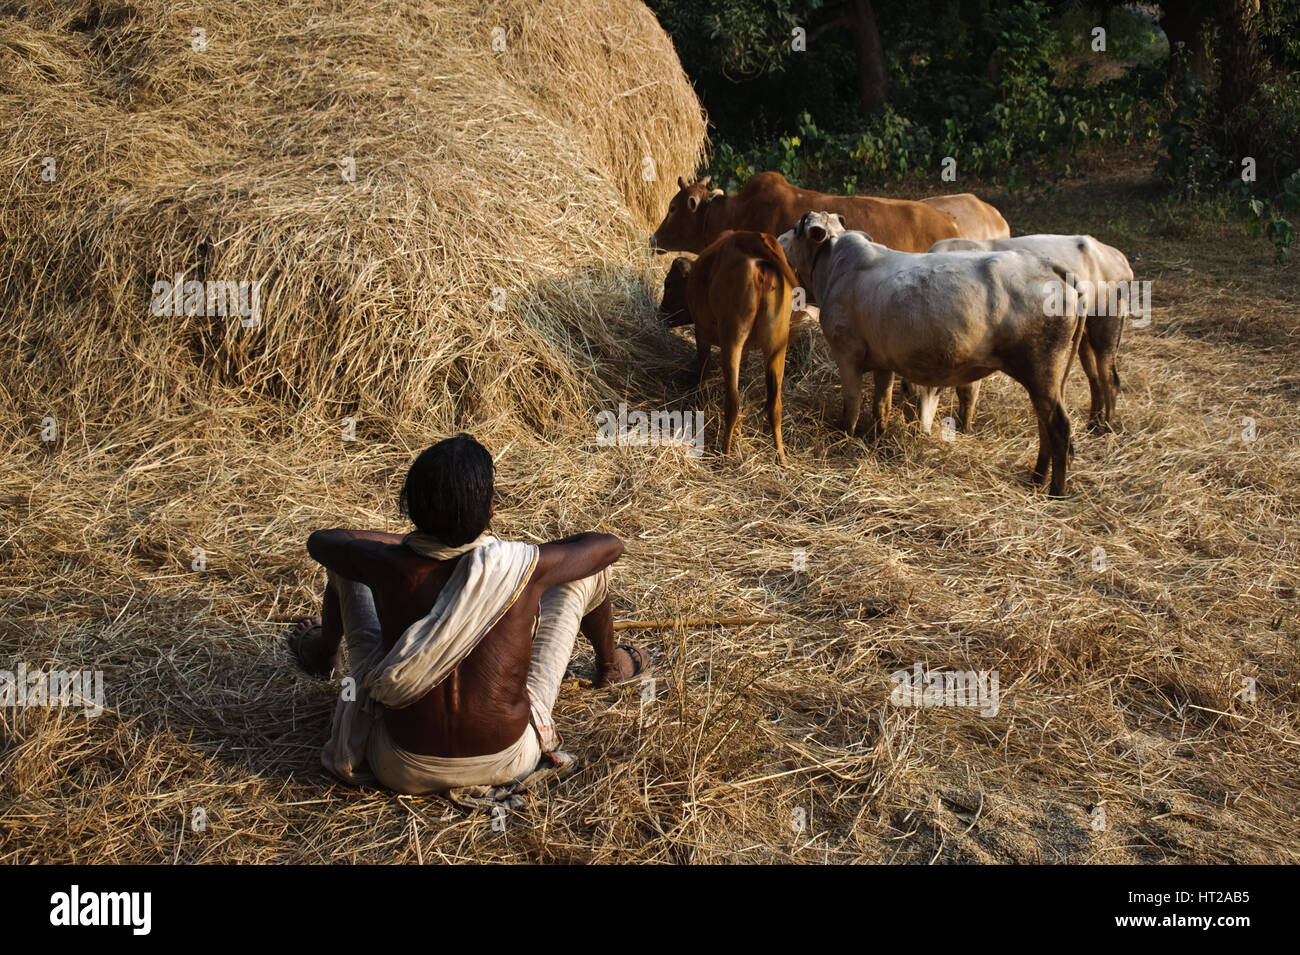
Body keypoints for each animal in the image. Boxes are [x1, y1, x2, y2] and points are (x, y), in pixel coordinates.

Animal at [660, 227, 800, 459]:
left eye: (668, 283)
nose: (661, 312)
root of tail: (753, 240)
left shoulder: (702, 333)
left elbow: (703, 369)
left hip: (732, 339)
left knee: (733, 403)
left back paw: (724, 451)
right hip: (776, 346)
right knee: (775, 407)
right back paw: (781, 457)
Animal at [780, 213, 1086, 496]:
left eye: (796, 229)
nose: (780, 239)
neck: (834, 268)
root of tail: (1048, 266)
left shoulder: (847, 355)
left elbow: (852, 407)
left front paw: (845, 439)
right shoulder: (883, 362)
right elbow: (882, 405)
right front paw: (877, 439)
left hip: (1041, 369)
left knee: (1059, 427)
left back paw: (1056, 490)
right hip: (1043, 380)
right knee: (1044, 426)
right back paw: (1037, 478)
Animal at [925, 235, 1138, 433]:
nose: (922, 429)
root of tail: (1117, 258)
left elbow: (967, 392)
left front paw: (964, 428)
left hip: (1106, 328)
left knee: (1110, 379)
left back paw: (1106, 428)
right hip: (1085, 339)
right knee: (1094, 379)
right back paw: (1093, 423)